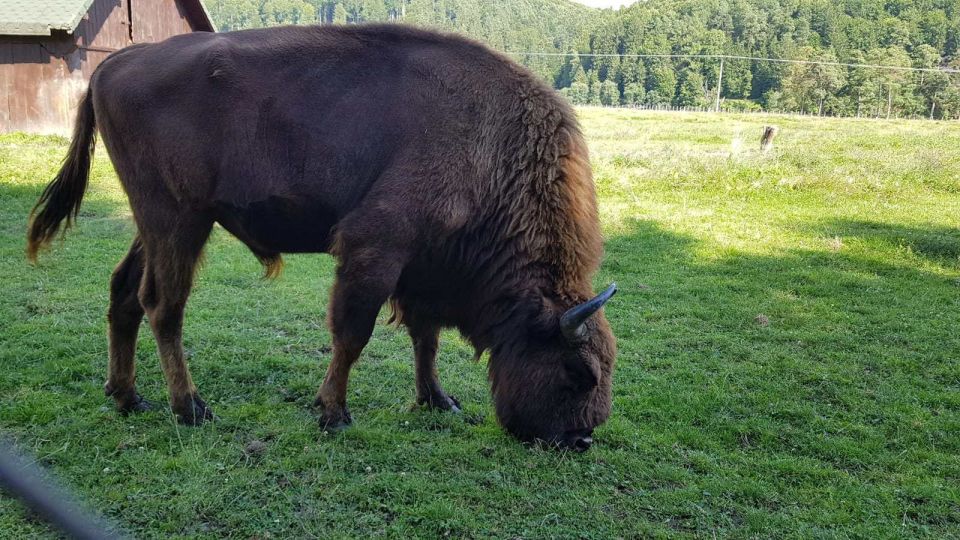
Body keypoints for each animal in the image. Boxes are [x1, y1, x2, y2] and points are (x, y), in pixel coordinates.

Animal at [30, 23, 620, 450]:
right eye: (579, 373)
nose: (581, 439)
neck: (495, 153)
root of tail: (115, 62)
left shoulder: (419, 267)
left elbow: (424, 337)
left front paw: (438, 400)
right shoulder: (374, 248)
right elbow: (353, 334)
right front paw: (334, 413)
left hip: (156, 226)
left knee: (124, 293)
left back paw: (127, 397)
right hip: (178, 221)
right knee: (163, 306)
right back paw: (190, 407)